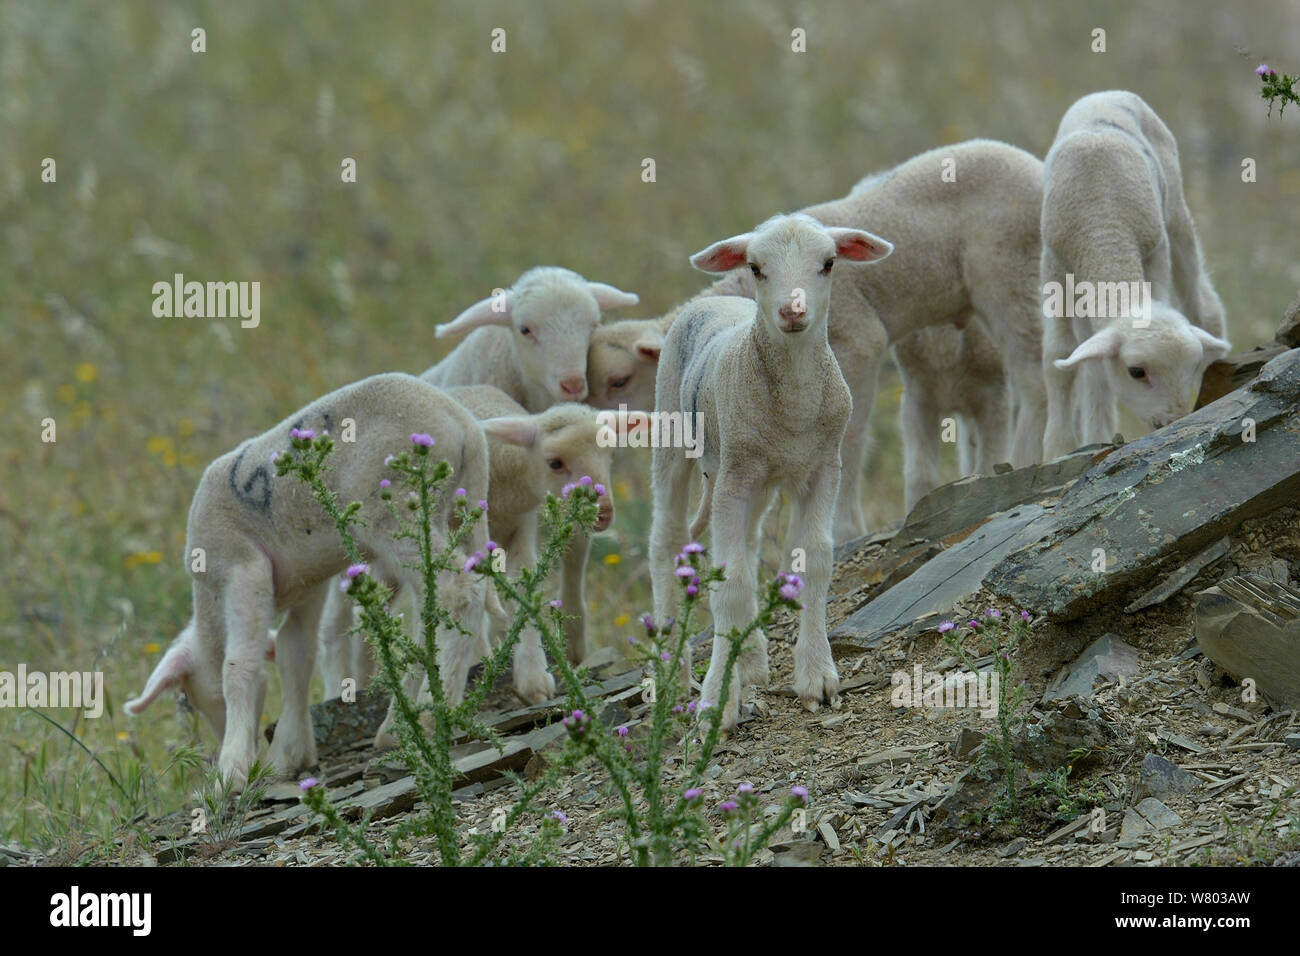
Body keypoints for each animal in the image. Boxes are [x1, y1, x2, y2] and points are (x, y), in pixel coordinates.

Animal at [124, 369, 488, 790]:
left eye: (192, 700)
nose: (219, 745)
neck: (209, 598)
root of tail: (460, 422)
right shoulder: (308, 584)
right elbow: (294, 652)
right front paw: (289, 755)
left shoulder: (242, 567)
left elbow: (239, 666)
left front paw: (232, 772)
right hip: (458, 508)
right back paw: (399, 723)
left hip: (398, 509)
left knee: (456, 592)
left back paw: (430, 713)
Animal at [650, 213, 894, 728]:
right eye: (756, 267)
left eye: (829, 263)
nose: (793, 311)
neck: (793, 412)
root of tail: (715, 299)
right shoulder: (734, 479)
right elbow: (730, 585)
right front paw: (715, 704)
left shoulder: (823, 467)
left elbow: (815, 561)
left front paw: (817, 678)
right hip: (674, 436)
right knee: (665, 540)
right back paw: (673, 675)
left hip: (755, 481)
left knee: (748, 542)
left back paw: (752, 660)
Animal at [1040, 90, 1232, 460]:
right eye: (1136, 372)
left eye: (1191, 367)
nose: (1174, 422)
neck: (1103, 224)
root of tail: (1108, 93)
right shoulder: (1055, 264)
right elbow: (1062, 355)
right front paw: (1060, 447)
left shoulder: (1155, 251)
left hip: (1175, 213)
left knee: (1203, 304)